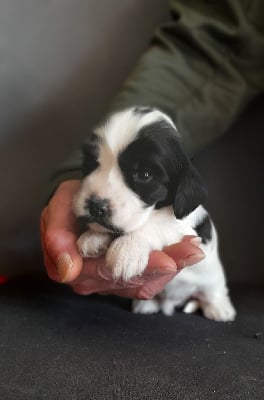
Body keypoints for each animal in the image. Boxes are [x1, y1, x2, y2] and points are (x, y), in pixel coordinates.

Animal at [73, 106, 236, 322]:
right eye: (92, 163)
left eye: (145, 174)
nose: (95, 206)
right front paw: (94, 236)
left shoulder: (185, 228)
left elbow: (156, 225)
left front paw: (128, 248)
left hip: (212, 277)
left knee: (213, 290)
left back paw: (219, 309)